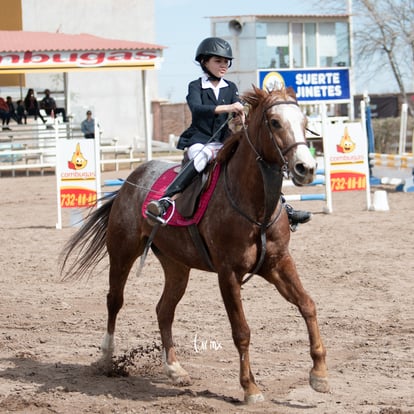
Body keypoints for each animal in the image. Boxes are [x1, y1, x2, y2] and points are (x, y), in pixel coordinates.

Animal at [60, 85, 330, 402]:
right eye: (275, 122)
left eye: (304, 121)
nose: (306, 168)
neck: (255, 206)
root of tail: (130, 181)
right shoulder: (228, 274)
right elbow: (241, 331)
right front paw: (249, 387)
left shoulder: (279, 264)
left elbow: (307, 305)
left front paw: (319, 375)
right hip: (123, 253)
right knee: (115, 300)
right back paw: (105, 357)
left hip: (177, 266)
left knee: (164, 310)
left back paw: (174, 369)